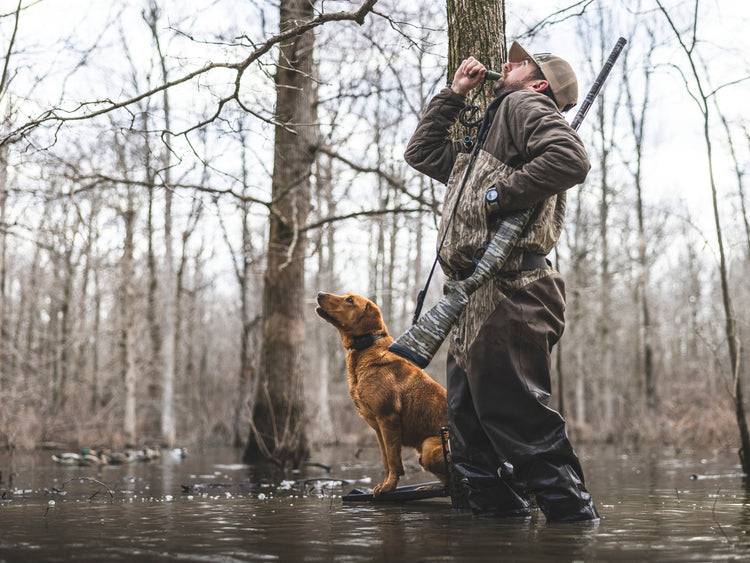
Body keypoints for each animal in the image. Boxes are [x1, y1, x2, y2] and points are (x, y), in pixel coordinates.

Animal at [316, 294, 450, 496]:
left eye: (349, 300)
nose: (319, 294)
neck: (366, 348)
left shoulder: (388, 419)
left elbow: (394, 461)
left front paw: (389, 487)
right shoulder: (378, 428)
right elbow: (386, 461)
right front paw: (385, 484)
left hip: (428, 448)